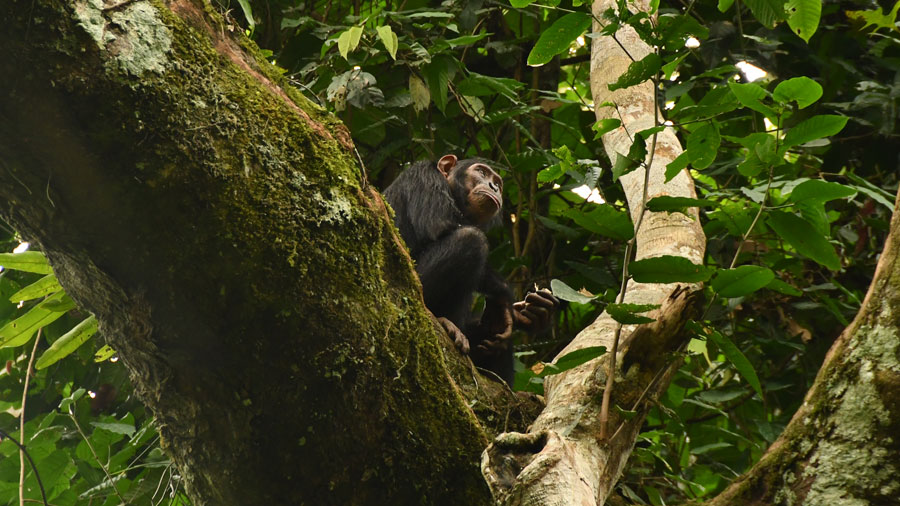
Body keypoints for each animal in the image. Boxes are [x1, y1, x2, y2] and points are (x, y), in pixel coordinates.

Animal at [384, 154, 560, 384]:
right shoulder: (424, 177)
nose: (493, 186)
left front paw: (530, 313)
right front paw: (505, 298)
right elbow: (440, 227)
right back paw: (446, 322)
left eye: (498, 183)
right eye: (482, 172)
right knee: (471, 240)